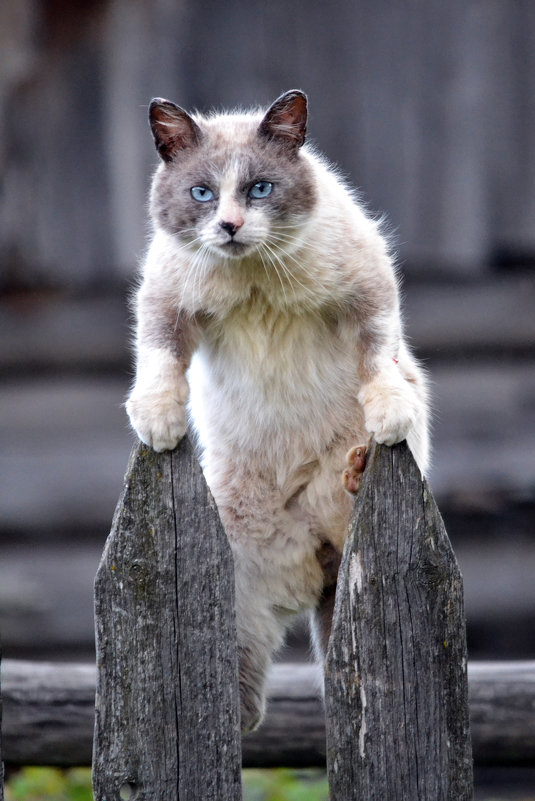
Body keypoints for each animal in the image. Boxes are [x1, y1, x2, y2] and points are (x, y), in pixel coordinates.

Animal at [126, 90, 432, 736]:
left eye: (260, 189)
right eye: (202, 194)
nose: (230, 225)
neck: (253, 279)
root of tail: (321, 556)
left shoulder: (366, 289)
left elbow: (378, 358)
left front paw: (386, 413)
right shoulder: (166, 301)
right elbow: (158, 359)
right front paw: (160, 425)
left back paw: (360, 467)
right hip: (238, 581)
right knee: (242, 700)